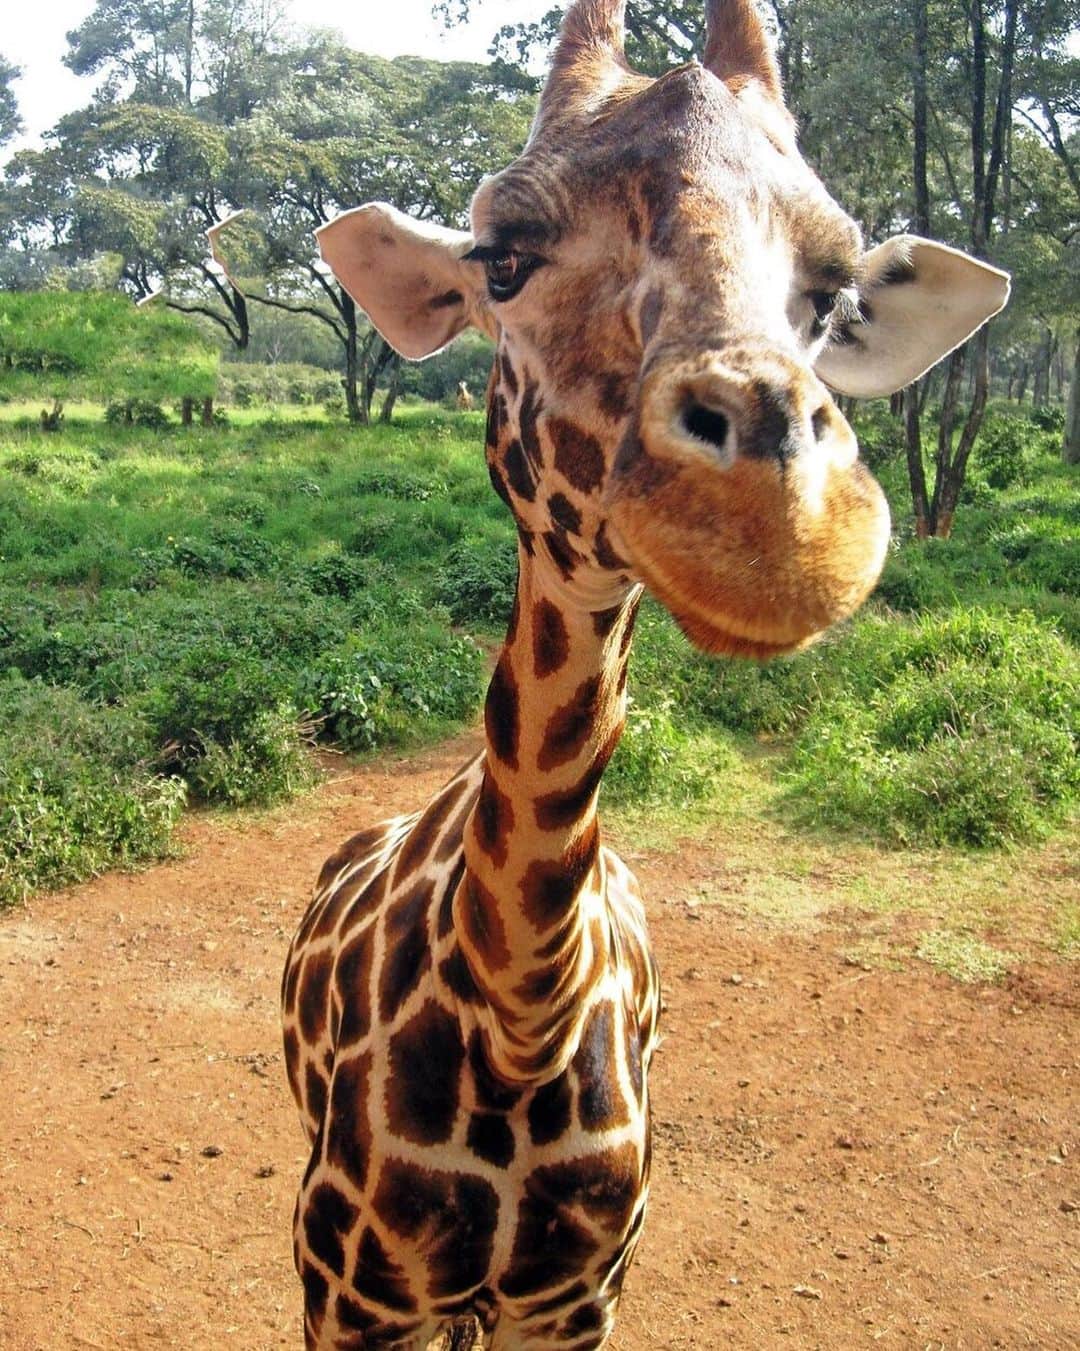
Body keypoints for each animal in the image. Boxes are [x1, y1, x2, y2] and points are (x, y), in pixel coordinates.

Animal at [284, 2, 1010, 1347]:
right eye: (501, 261)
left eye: (834, 294)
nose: (777, 533)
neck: (521, 1011)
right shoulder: (349, 1292)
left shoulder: (580, 1298)